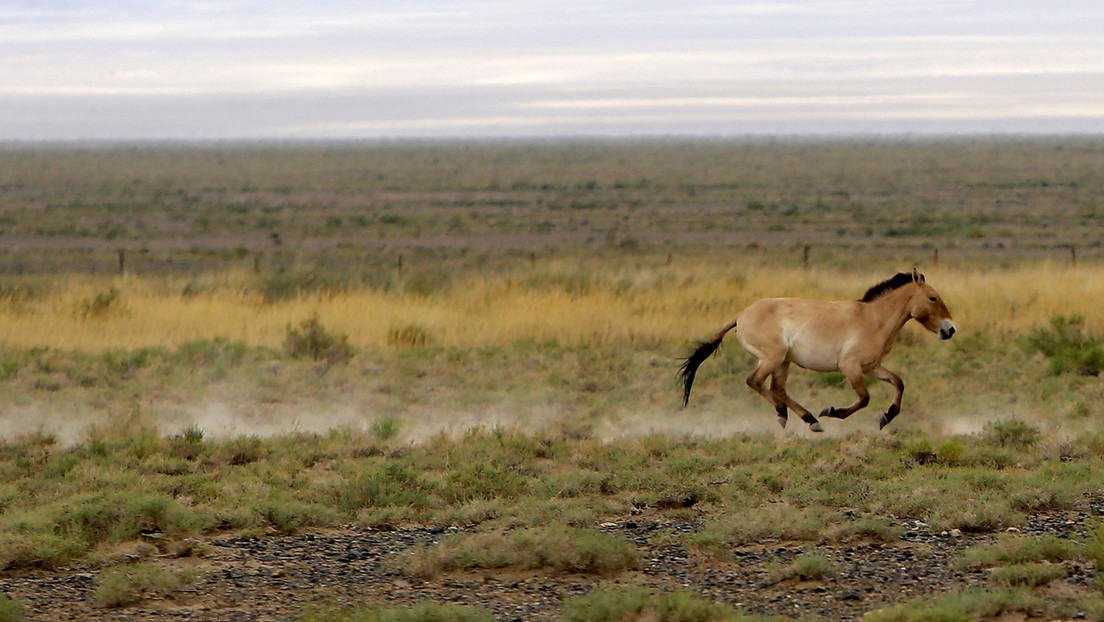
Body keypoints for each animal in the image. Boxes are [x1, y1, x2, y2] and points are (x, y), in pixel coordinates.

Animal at [678, 269, 955, 431]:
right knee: (755, 381)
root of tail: (740, 316)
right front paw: (833, 412)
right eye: (933, 298)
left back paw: (805, 419)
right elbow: (864, 398)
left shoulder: (872, 367)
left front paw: (886, 417)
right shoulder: (850, 367)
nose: (950, 329)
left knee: (777, 388)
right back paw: (792, 415)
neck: (874, 319)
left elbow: (899, 383)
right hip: (773, 358)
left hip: (783, 361)